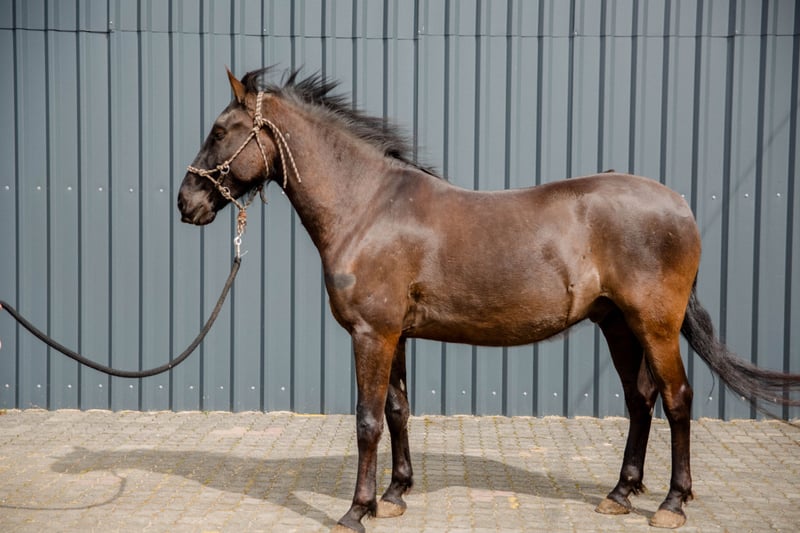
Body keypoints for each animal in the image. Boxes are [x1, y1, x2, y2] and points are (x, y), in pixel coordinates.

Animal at [178, 67, 800, 532]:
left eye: (220, 130)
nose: (186, 202)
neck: (369, 206)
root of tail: (679, 204)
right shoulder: (394, 334)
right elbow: (398, 410)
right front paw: (394, 496)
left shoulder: (371, 334)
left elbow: (367, 421)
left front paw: (356, 510)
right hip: (618, 324)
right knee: (640, 399)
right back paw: (620, 493)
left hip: (655, 324)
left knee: (677, 399)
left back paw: (671, 503)